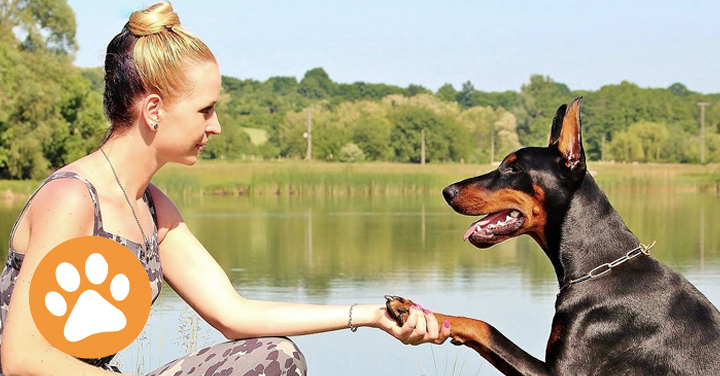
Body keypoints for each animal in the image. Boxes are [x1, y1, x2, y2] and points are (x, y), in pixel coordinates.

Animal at [386, 97, 720, 376]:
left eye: (513, 168)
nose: (447, 191)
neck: (598, 269)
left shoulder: (561, 372)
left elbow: (485, 327)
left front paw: (409, 308)